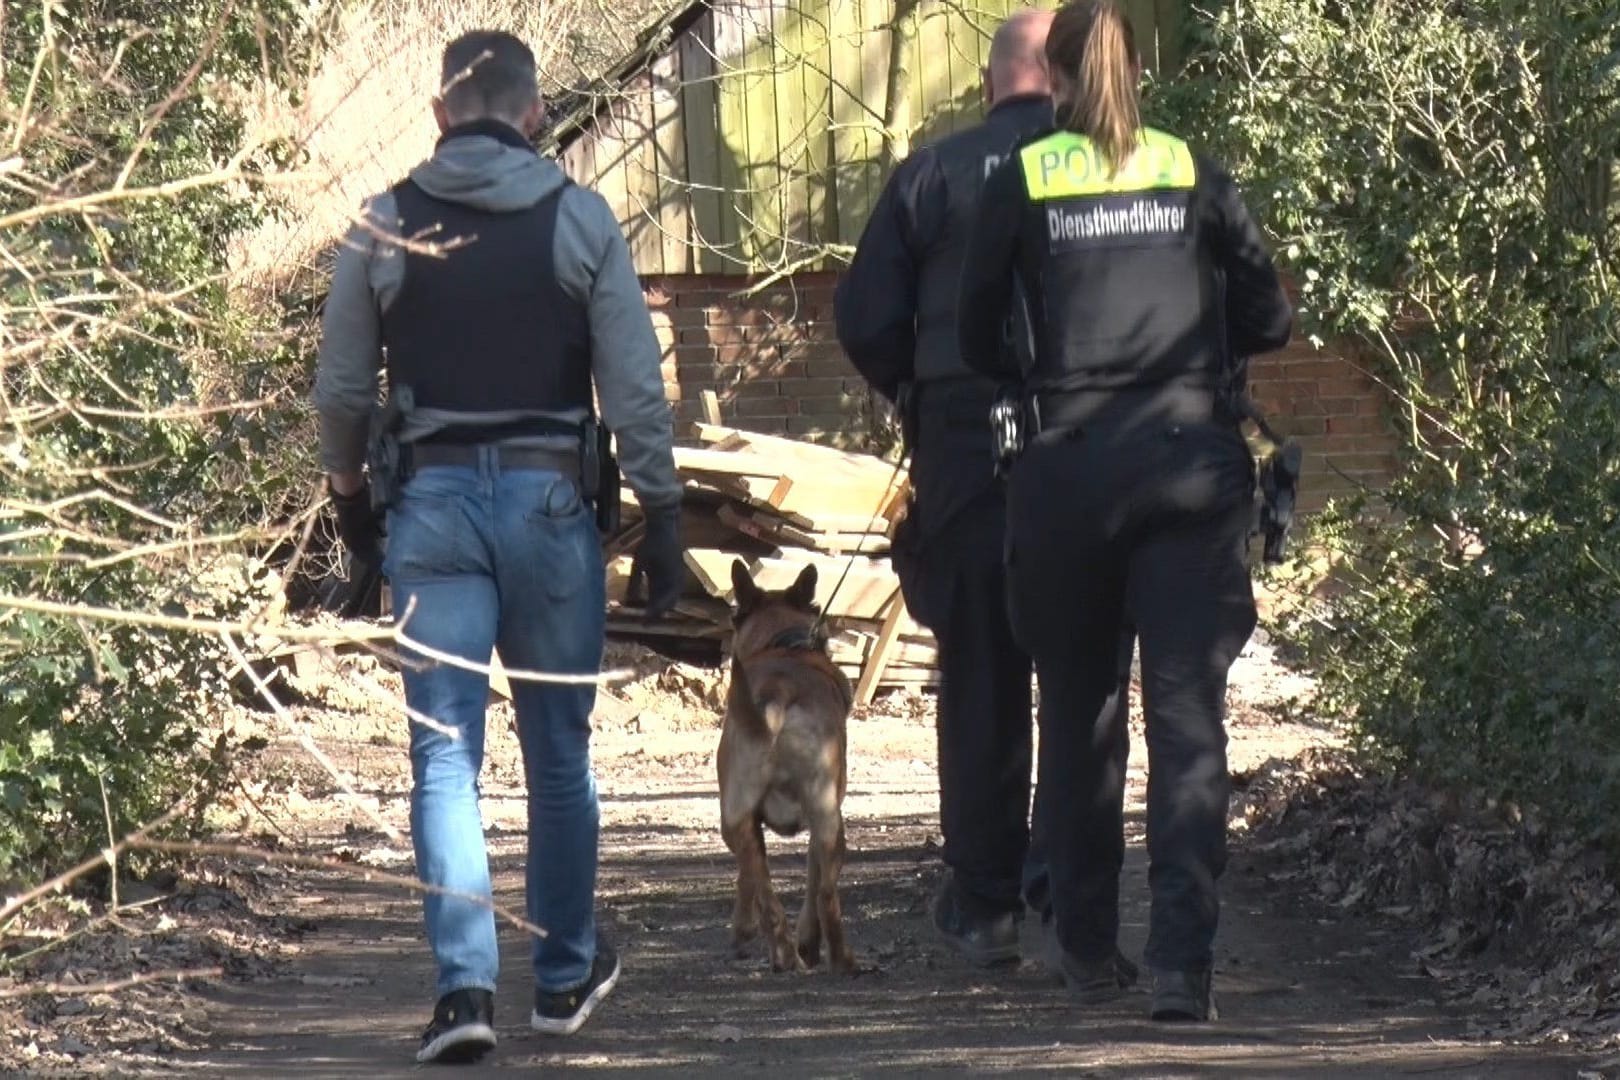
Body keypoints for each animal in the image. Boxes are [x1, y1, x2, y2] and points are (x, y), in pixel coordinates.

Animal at [716, 563, 855, 977]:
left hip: (739, 819)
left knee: (769, 895)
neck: (782, 645)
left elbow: (750, 879)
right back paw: (838, 959)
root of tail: (778, 696)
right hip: (829, 820)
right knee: (824, 895)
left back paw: (785, 955)